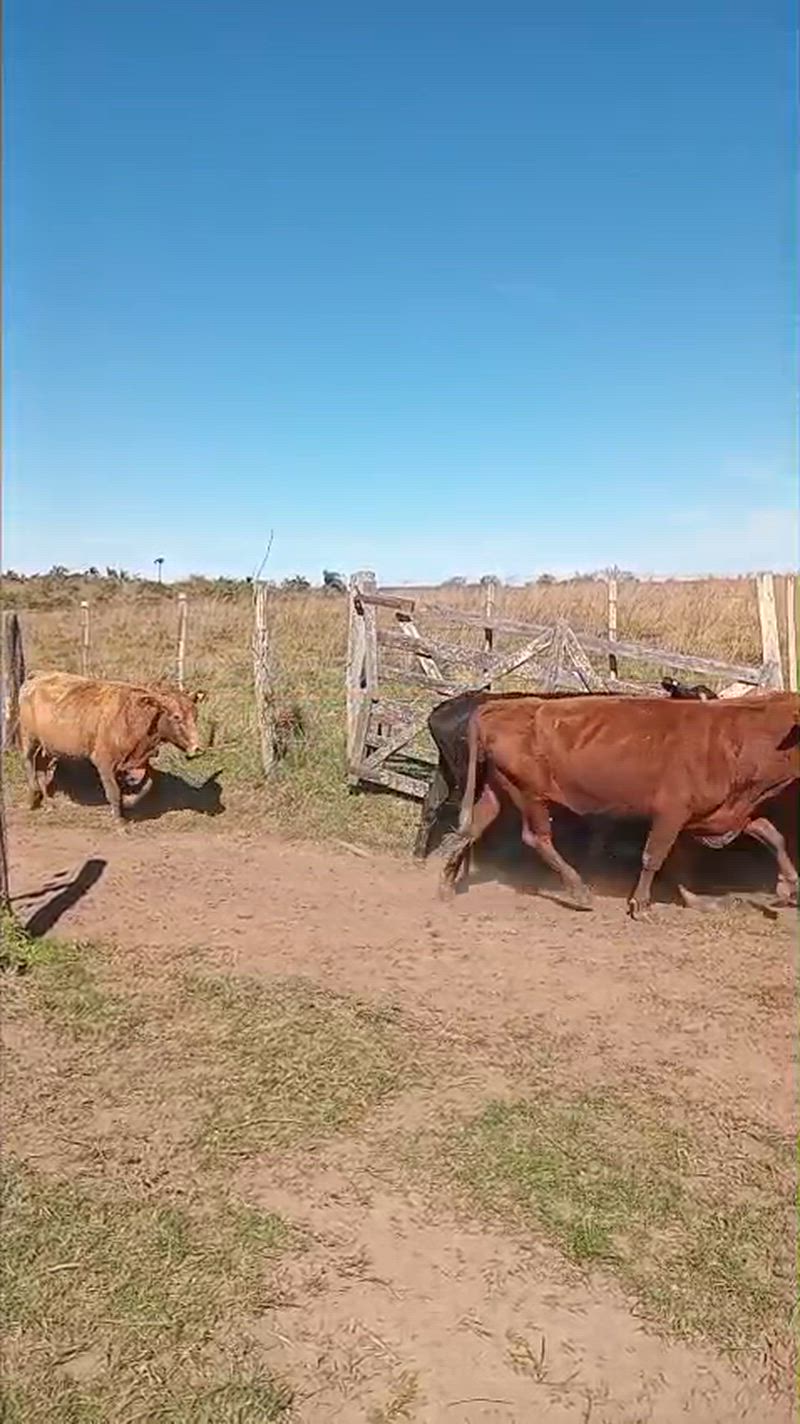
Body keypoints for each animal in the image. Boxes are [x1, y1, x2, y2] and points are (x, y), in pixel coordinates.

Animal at [19, 672, 207, 820]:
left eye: (195, 715)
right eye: (176, 717)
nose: (197, 749)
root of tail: (38, 675)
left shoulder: (140, 760)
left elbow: (148, 784)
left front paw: (128, 802)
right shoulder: (104, 760)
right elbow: (113, 791)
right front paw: (120, 822)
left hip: (48, 746)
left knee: (41, 768)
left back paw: (49, 802)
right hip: (29, 737)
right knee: (28, 762)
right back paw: (32, 798)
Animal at [414, 679, 718, 860]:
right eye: (692, 698)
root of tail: (448, 707)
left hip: (448, 770)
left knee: (431, 804)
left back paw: (420, 855)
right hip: (468, 776)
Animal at [440, 693, 798, 918]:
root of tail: (499, 706)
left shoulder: (719, 815)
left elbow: (773, 836)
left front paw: (788, 886)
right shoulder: (671, 812)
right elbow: (655, 857)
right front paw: (641, 904)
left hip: (497, 789)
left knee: (469, 830)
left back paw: (445, 885)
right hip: (529, 792)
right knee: (536, 837)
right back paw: (580, 891)